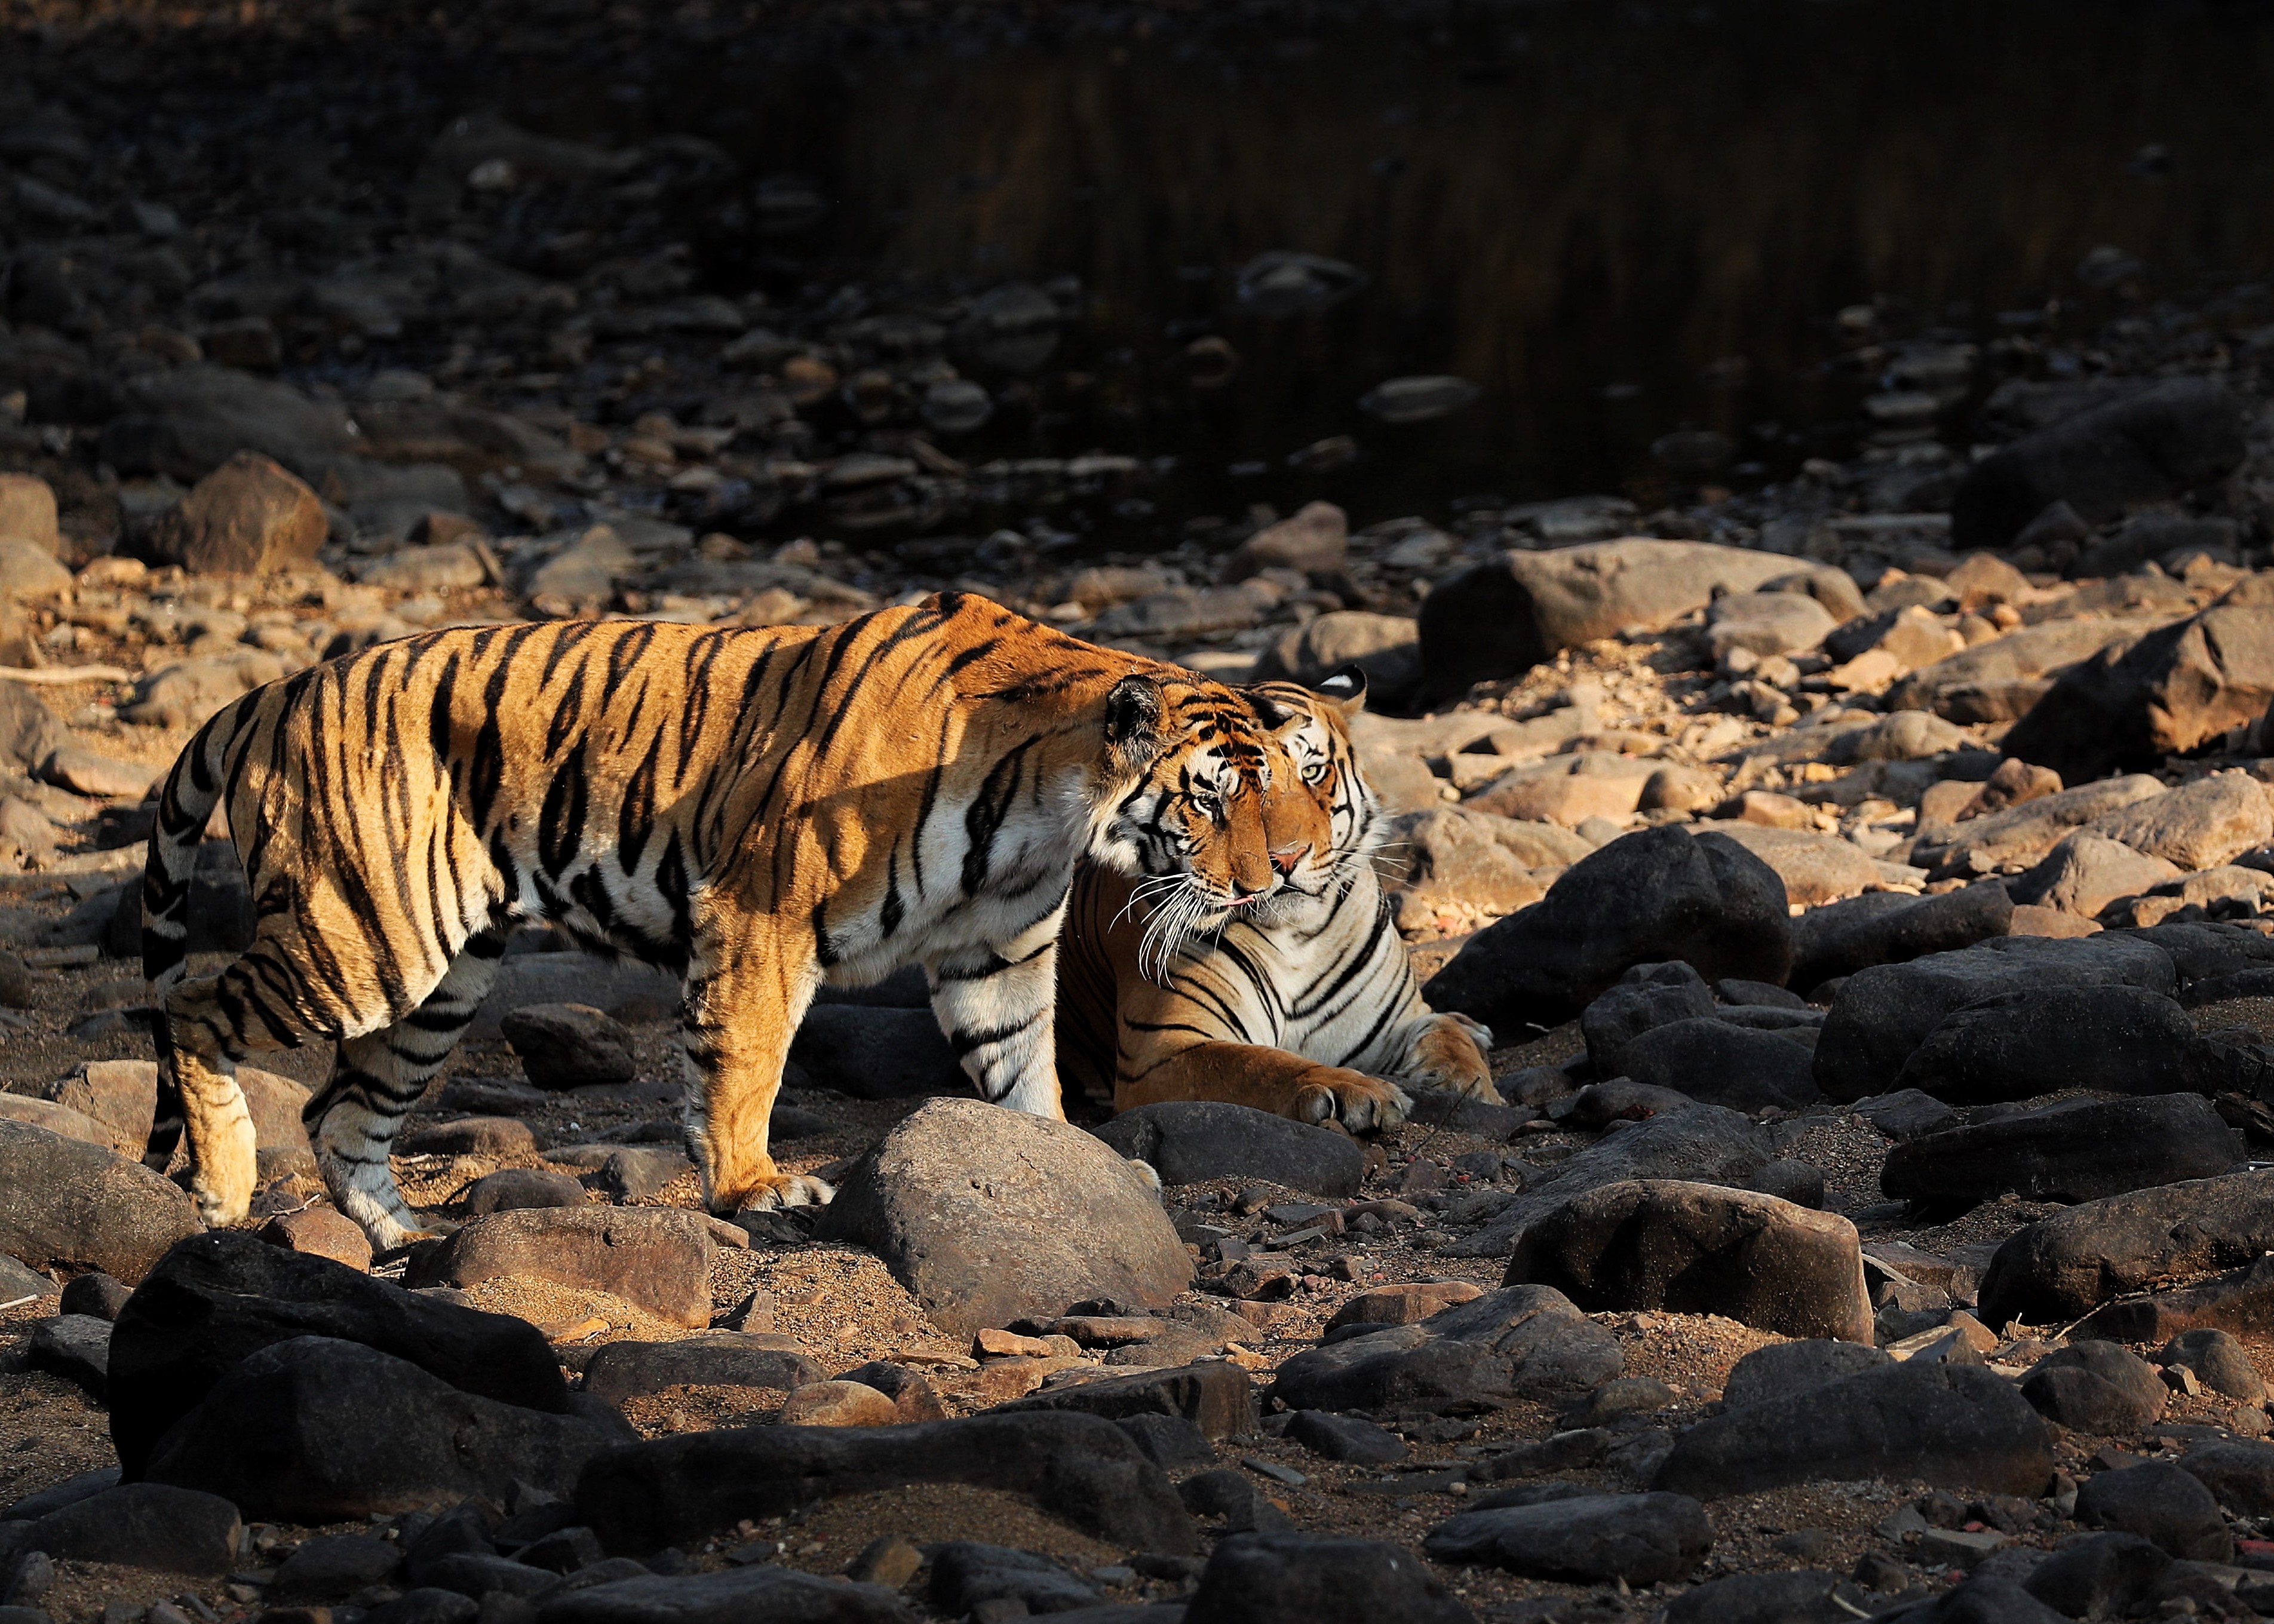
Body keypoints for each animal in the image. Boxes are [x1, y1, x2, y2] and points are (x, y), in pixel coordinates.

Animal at [139, 591, 1311, 1251]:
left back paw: (399, 1233)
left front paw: (1082, 1168)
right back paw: (225, 1185)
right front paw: (755, 1186)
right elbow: (746, 1063)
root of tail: (286, 685)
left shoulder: (997, 955)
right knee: (192, 1006)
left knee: (340, 1107)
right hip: (363, 938)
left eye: (1285, 785)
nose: (1282, 871)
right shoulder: (763, 912)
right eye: (1212, 798)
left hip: (439, 978)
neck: (1050, 808)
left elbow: (1026, 1075)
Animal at [1055, 663, 1502, 1127]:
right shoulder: (1162, 1050)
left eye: (1313, 771)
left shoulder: (1399, 1020)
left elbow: (1445, 1037)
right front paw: (1357, 1089)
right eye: (1215, 797)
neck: (1297, 940)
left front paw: (1468, 1087)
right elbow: (1260, 1065)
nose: (1283, 859)